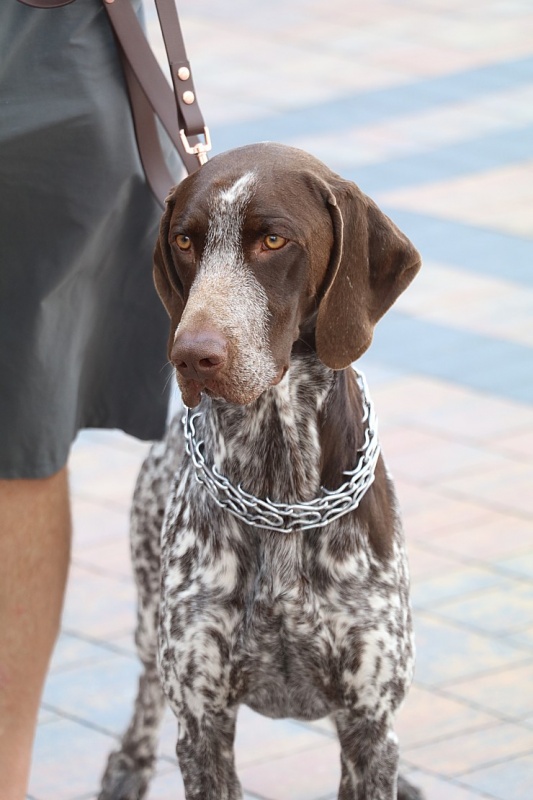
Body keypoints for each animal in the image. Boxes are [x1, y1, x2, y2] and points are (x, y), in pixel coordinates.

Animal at [98, 144, 424, 800]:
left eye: (273, 240)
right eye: (185, 240)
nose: (191, 355)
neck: (280, 484)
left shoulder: (368, 720)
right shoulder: (203, 723)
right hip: (149, 614)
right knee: (146, 683)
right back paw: (129, 762)